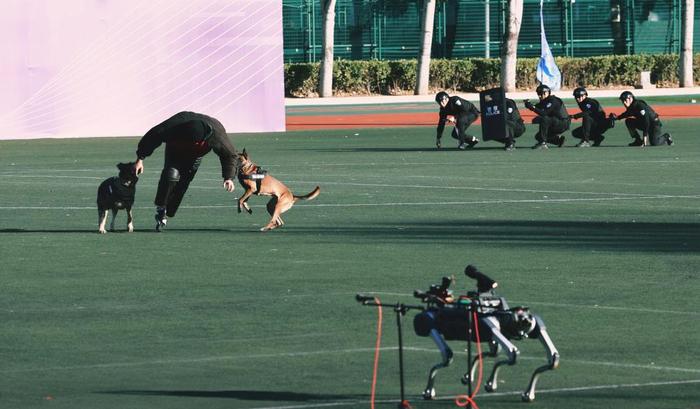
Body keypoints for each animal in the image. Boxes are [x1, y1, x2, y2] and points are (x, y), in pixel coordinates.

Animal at [358, 264, 560, 404]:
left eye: (524, 322)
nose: (527, 321)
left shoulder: (490, 328)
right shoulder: (488, 328)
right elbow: (493, 354)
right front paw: (475, 379)